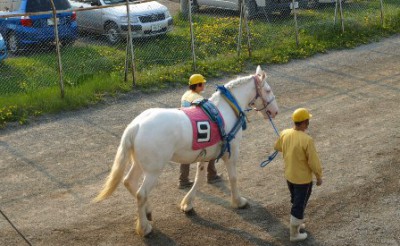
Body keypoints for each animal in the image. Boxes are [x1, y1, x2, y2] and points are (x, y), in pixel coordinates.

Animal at [95, 65, 280, 236]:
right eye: (268, 90)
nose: (275, 111)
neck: (226, 109)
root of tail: (136, 125)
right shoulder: (231, 152)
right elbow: (233, 177)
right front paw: (238, 201)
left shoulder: (205, 155)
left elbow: (199, 178)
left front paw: (188, 203)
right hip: (153, 170)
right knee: (141, 193)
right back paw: (144, 228)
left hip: (139, 164)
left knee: (129, 182)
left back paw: (147, 211)